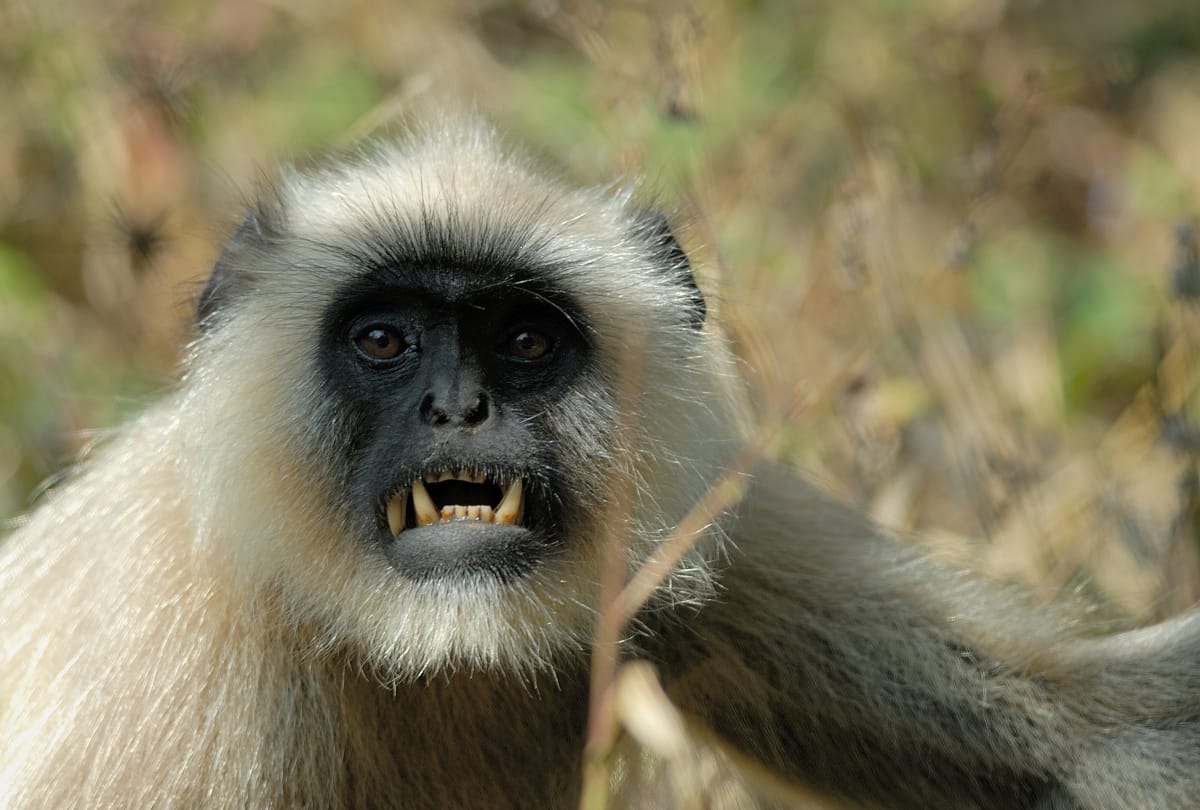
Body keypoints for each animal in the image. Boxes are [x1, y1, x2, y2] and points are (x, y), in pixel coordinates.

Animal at [2, 119, 1200, 810]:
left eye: (527, 342)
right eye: (385, 341)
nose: (458, 405)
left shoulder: (702, 503)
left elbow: (1099, 747)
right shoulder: (172, 662)